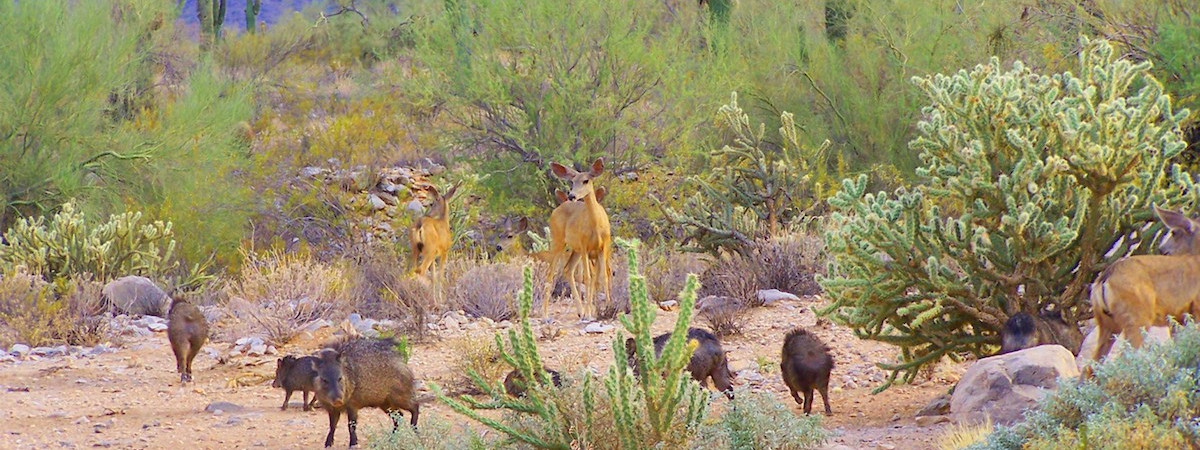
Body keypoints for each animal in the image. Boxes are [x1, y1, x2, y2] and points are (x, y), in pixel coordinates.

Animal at [547, 158, 619, 321]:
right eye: (572, 181)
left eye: (586, 180)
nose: (572, 196)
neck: (596, 226)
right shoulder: (586, 246)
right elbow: (588, 277)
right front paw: (589, 313)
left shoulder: (602, 247)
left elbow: (603, 276)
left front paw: (608, 308)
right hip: (559, 240)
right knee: (551, 273)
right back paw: (545, 314)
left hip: (576, 249)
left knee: (568, 269)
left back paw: (580, 311)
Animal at [1084, 207, 1200, 376]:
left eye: (1174, 233)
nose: (1162, 250)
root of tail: (1104, 279)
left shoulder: (1178, 318)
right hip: (1136, 317)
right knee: (1127, 360)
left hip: (1106, 323)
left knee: (1090, 365)